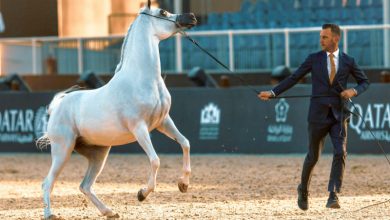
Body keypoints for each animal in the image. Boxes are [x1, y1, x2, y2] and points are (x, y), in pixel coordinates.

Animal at [37, 2, 197, 220]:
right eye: (163, 12)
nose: (191, 17)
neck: (142, 79)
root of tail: (57, 106)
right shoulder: (139, 128)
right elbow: (155, 160)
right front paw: (142, 194)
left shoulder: (163, 122)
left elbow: (185, 143)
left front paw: (183, 184)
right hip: (63, 150)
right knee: (47, 183)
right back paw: (50, 214)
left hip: (98, 154)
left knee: (85, 186)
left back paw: (109, 212)